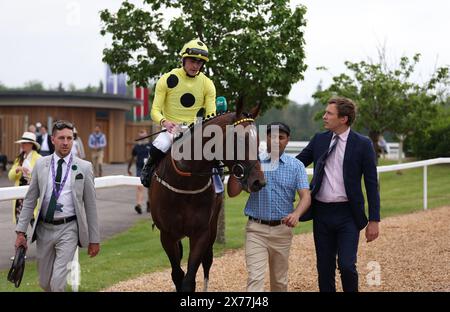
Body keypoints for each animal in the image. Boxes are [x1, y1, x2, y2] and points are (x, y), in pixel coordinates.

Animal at [148, 100, 268, 292]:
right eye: (240, 139)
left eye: (257, 140)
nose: (258, 182)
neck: (186, 182)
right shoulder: (167, 235)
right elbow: (177, 275)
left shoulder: (201, 233)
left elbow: (189, 279)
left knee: (207, 261)